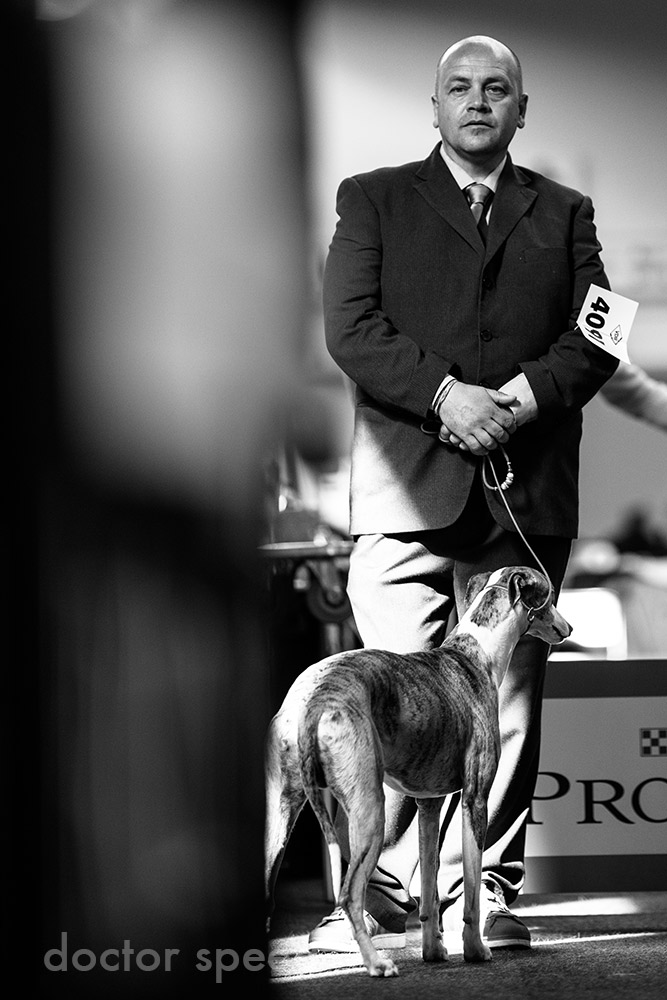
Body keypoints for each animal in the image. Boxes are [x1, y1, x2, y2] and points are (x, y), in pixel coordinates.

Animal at [264, 565, 571, 977]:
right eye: (549, 596)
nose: (568, 628)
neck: (476, 653)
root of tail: (315, 697)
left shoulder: (428, 804)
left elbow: (428, 886)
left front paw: (434, 950)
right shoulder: (475, 799)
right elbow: (471, 890)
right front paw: (475, 949)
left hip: (282, 814)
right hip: (369, 813)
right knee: (349, 894)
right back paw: (376, 962)